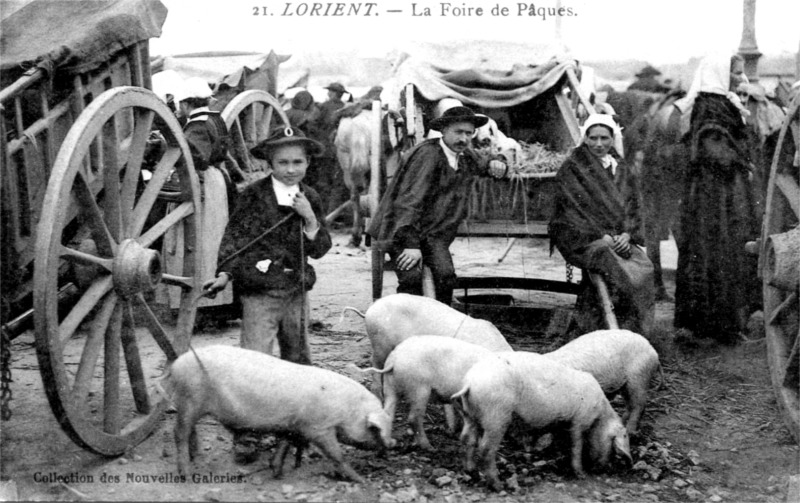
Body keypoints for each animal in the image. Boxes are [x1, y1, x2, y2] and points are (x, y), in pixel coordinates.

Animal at [170, 344, 396, 482]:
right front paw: (361, 480)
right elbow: (337, 455)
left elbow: (285, 443)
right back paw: (186, 474)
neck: (346, 410)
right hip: (189, 400)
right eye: (374, 429)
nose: (393, 444)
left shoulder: (293, 424)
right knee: (179, 433)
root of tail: (176, 364)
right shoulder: (318, 428)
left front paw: (277, 472)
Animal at [358, 336, 494, 450]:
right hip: (419, 389)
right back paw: (429, 447)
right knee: (414, 418)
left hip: (390, 385)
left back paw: (390, 444)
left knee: (387, 412)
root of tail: (394, 360)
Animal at [456, 352, 632, 490]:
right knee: (486, 448)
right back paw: (498, 485)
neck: (600, 413)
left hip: (469, 414)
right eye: (613, 447)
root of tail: (470, 382)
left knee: (467, 438)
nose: (603, 469)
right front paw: (581, 474)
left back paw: (471, 472)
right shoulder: (580, 420)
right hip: (496, 416)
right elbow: (576, 445)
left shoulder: (563, 423)